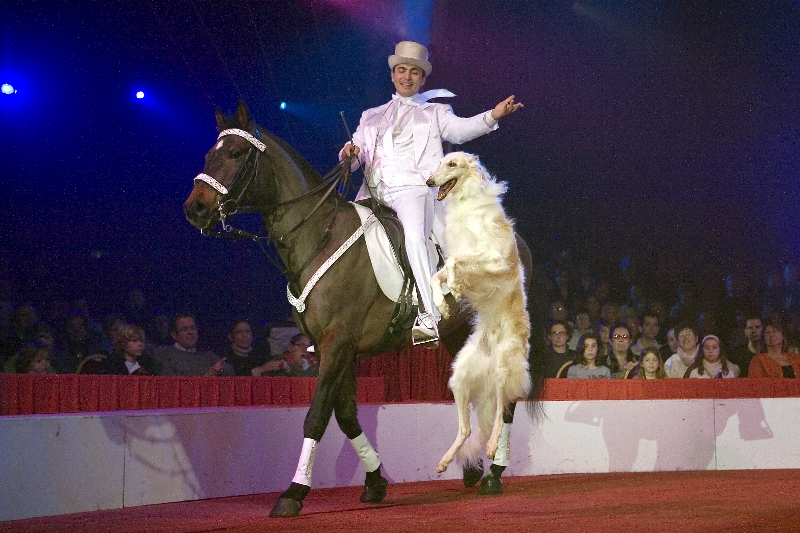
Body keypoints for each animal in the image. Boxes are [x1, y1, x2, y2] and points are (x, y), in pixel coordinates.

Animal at [426, 152, 531, 474]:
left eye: (451, 164)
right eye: (439, 164)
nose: (428, 181)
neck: (466, 203)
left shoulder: (493, 258)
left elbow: (453, 263)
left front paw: (455, 289)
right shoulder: (461, 254)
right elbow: (438, 275)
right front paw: (444, 301)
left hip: (502, 371)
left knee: (501, 413)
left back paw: (492, 446)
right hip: (459, 377)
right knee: (466, 428)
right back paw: (445, 461)